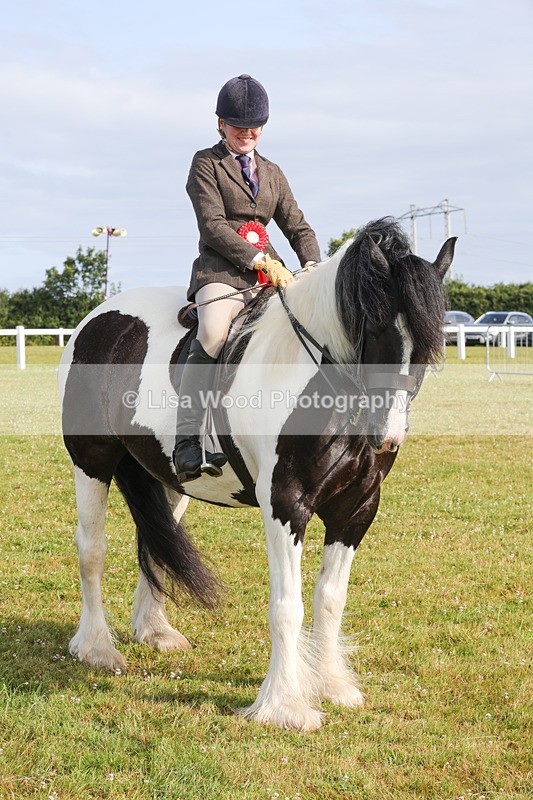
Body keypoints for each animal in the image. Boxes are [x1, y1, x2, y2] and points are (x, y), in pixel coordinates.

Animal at [58, 218, 456, 731]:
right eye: (375, 325)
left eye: (432, 339)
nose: (386, 436)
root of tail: (98, 318)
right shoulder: (286, 504)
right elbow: (288, 606)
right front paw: (285, 706)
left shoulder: (357, 507)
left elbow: (331, 598)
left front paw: (333, 686)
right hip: (90, 461)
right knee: (92, 550)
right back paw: (96, 648)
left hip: (171, 478)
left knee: (159, 539)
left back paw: (156, 632)